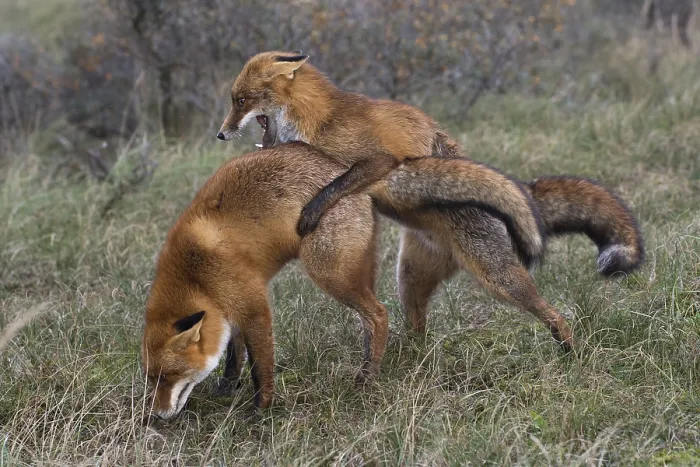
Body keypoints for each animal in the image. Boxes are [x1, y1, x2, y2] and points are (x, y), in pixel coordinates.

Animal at [142, 143, 643, 420]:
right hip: (403, 278)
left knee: (379, 314)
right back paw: (390, 365)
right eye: (152, 379)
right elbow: (234, 355)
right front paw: (227, 389)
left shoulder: (253, 304)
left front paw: (258, 412)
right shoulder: (231, 311)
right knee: (395, 323)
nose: (156, 416)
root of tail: (351, 174)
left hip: (341, 273)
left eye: (169, 376)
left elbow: (261, 365)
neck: (195, 270)